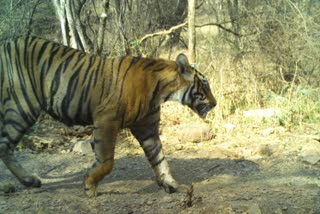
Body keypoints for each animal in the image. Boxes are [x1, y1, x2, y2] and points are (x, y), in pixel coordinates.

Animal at [0, 35, 216, 197]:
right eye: (205, 84)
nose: (215, 103)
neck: (162, 92)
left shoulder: (147, 128)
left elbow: (159, 158)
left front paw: (170, 183)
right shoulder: (107, 119)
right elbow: (107, 161)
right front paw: (89, 185)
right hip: (22, 106)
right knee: (4, 145)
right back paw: (23, 181)